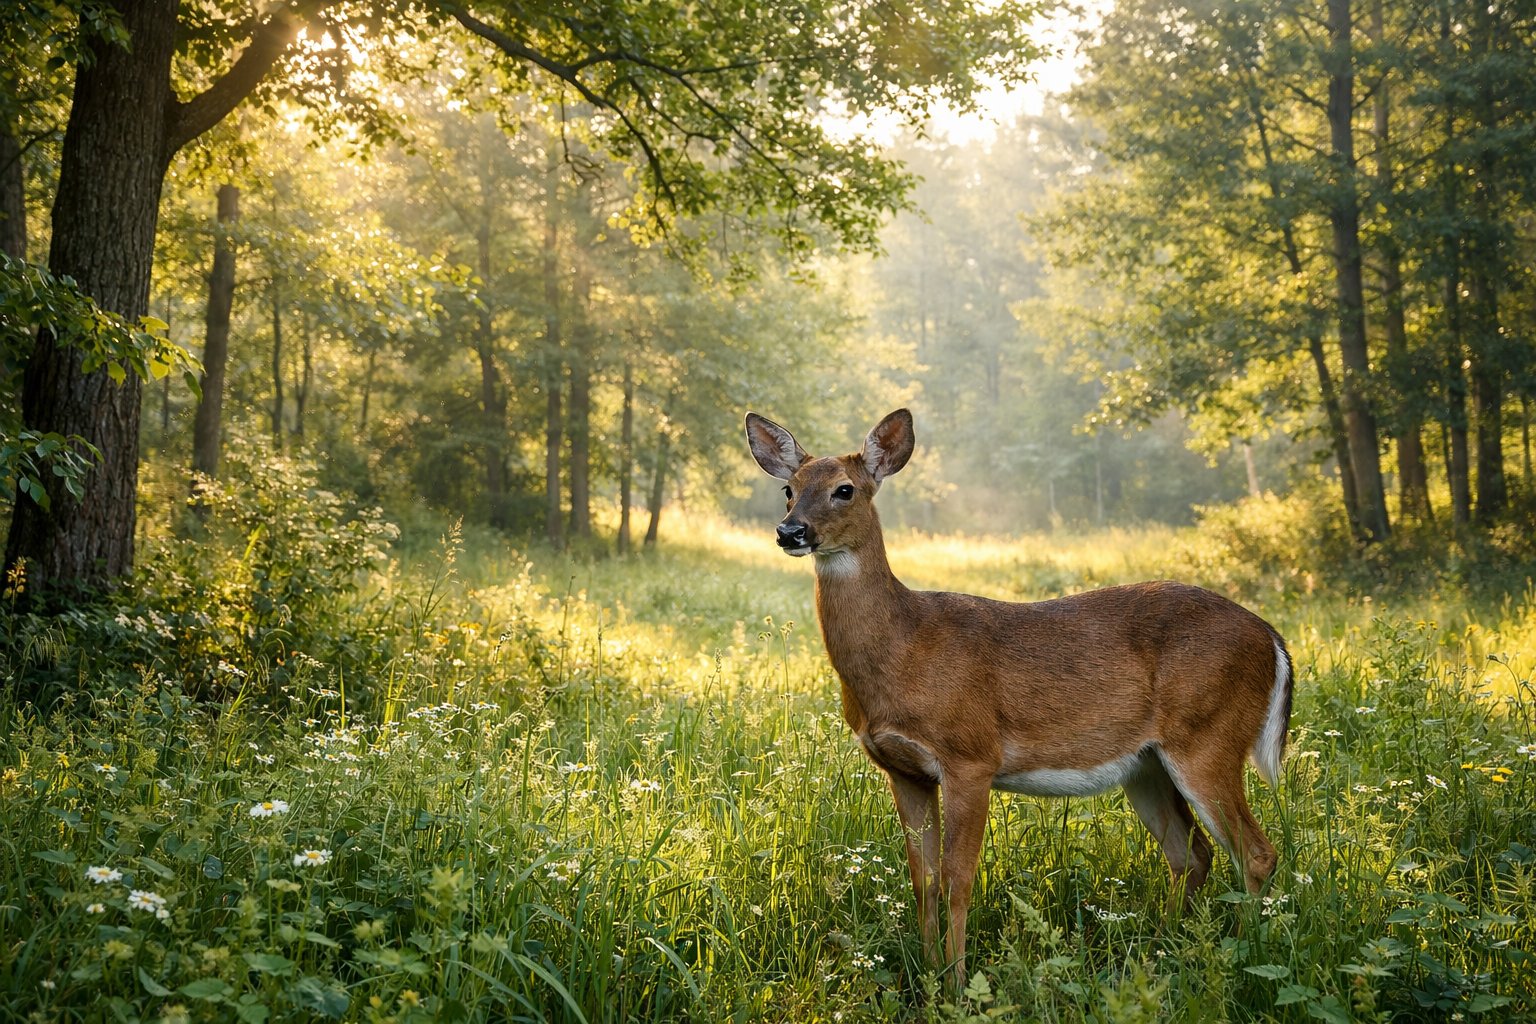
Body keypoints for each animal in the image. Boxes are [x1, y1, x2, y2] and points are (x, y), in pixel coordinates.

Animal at [744, 408, 1292, 985]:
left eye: (845, 489)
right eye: (788, 488)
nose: (790, 531)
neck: (904, 647)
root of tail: (1272, 638)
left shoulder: (971, 756)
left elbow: (959, 878)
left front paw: (957, 983)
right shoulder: (903, 770)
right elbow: (923, 879)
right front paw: (929, 976)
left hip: (1208, 737)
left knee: (1255, 853)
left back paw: (1244, 956)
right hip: (1146, 766)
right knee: (1192, 854)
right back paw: (1159, 955)